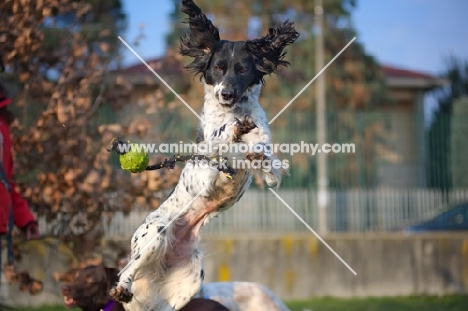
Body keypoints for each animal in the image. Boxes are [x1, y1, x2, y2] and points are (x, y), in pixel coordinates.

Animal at [109, 1, 298, 310]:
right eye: (218, 69)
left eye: (242, 70)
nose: (226, 94)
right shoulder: (205, 162)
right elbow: (219, 141)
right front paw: (232, 131)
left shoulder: (263, 146)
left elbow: (267, 161)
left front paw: (257, 157)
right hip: (155, 232)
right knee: (126, 268)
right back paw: (122, 288)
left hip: (191, 278)